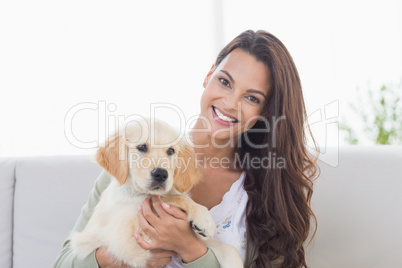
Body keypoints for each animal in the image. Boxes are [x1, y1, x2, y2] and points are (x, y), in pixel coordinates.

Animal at [70, 119, 242, 268]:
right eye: (142, 147)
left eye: (171, 151)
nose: (161, 174)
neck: (136, 194)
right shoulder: (129, 243)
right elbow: (169, 197)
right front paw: (203, 217)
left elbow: (226, 248)